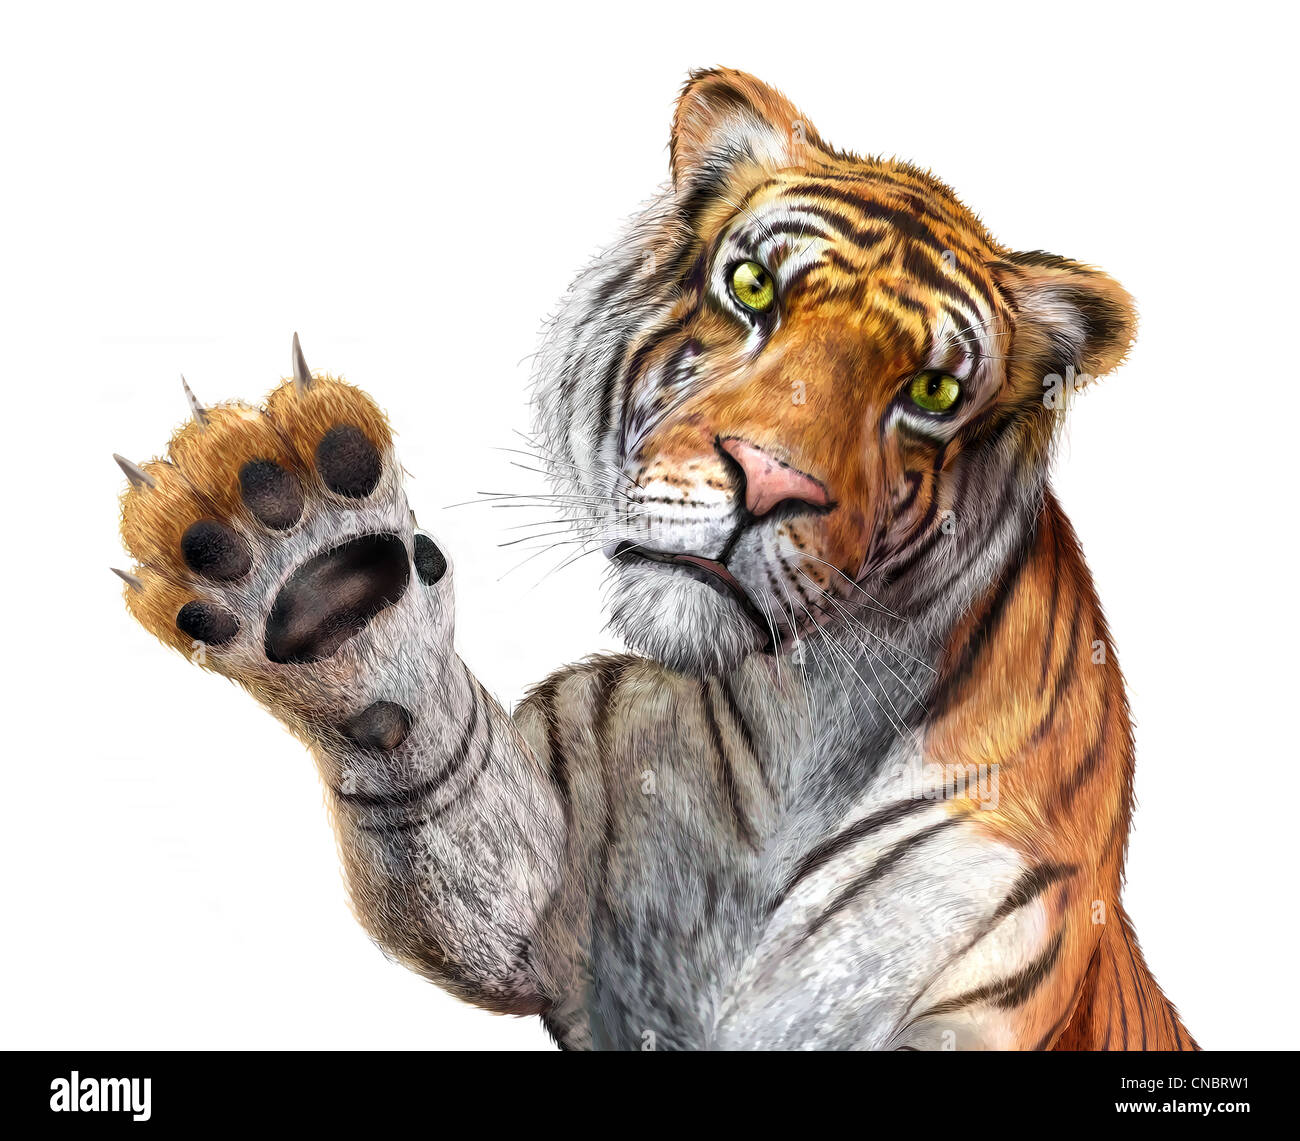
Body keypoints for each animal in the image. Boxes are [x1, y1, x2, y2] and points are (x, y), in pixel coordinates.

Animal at [114, 67, 1194, 1050]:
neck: (795, 731)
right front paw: (304, 555)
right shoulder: (546, 889)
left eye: (931, 391)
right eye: (752, 288)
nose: (767, 480)